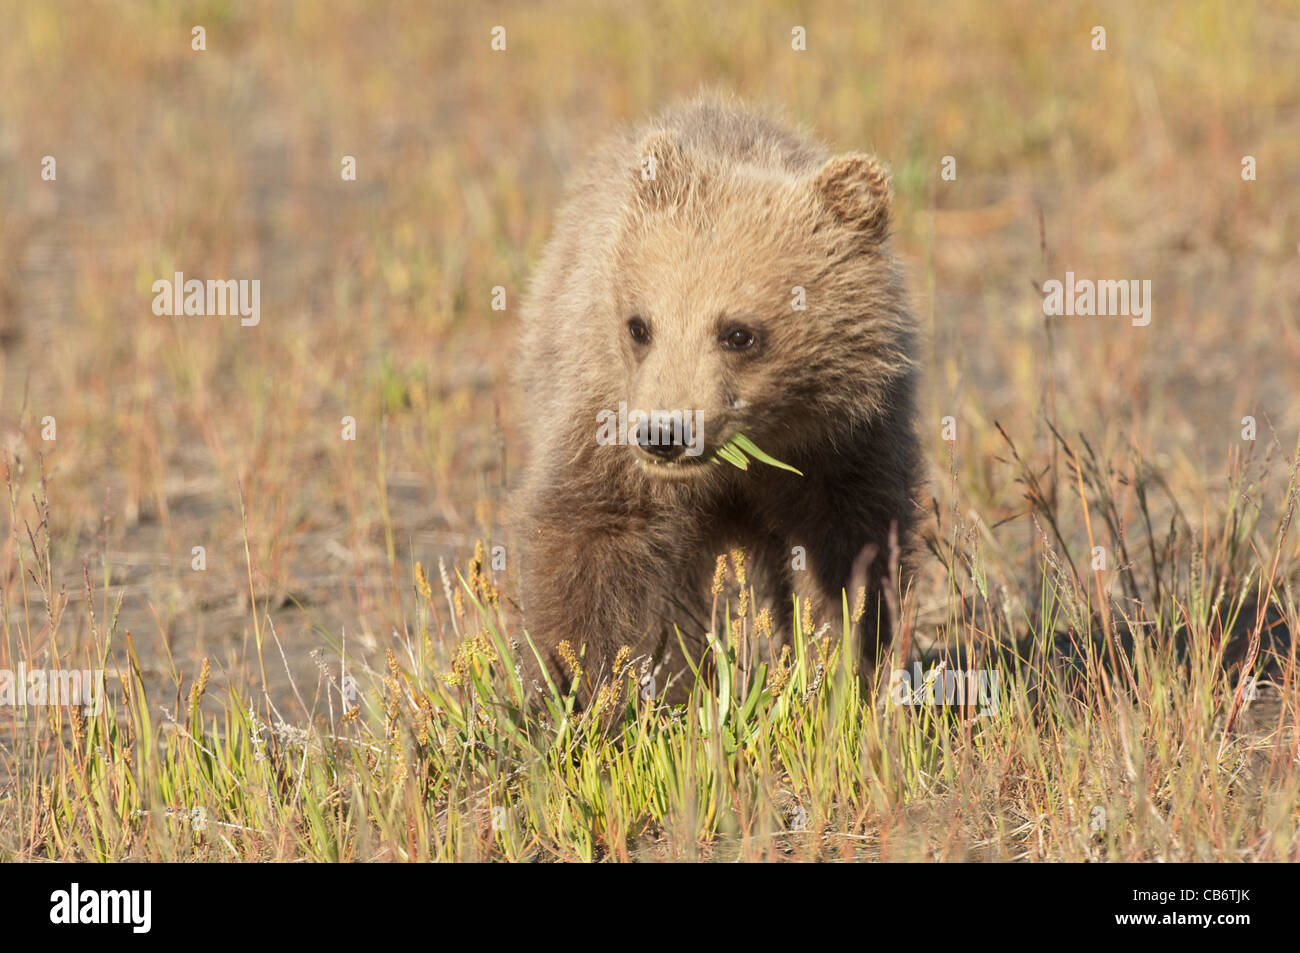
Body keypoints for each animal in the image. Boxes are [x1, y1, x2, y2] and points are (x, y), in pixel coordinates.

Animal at [513, 95, 922, 704]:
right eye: (639, 325)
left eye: (739, 333)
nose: (663, 435)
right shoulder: (603, 412)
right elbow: (591, 539)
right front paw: (576, 689)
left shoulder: (844, 441)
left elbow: (851, 555)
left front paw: (841, 671)